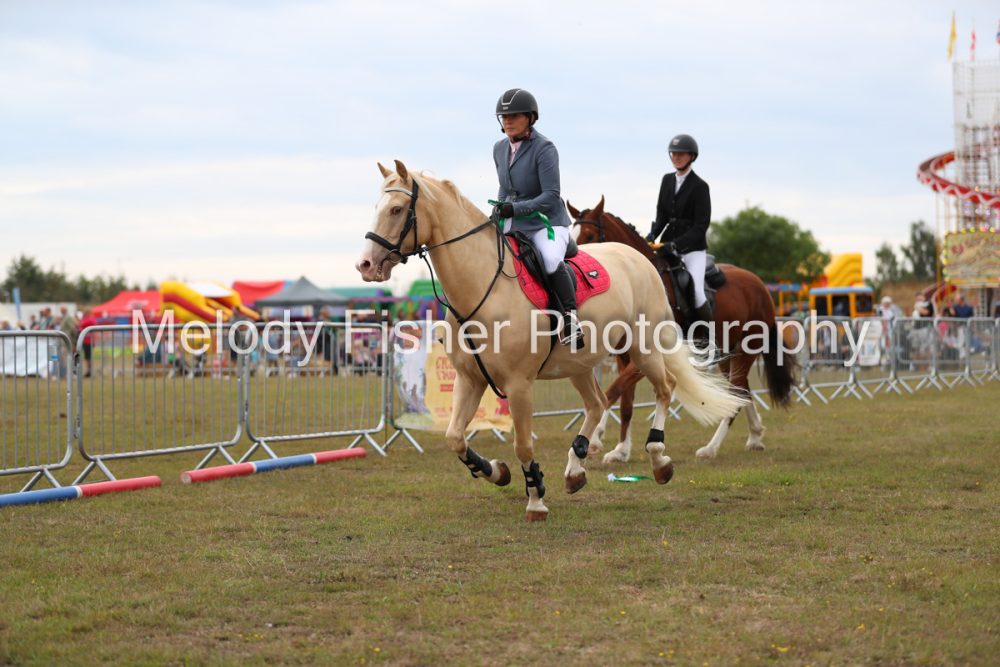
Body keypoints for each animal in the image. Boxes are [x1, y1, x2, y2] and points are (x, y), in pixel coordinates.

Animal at [356, 161, 747, 521]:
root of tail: (640, 258)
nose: (365, 265)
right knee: (597, 403)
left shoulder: (519, 385)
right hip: (581, 363)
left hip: (645, 347)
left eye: (396, 209)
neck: (482, 286)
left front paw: (535, 499)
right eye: (376, 206)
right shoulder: (470, 380)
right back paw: (576, 468)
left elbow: (523, 444)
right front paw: (496, 472)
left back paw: (659, 459)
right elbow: (455, 438)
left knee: (666, 387)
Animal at [567, 197, 796, 463]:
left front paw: (595, 438)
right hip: (727, 354)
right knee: (740, 391)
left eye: (590, 235)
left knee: (737, 391)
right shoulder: (624, 357)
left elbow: (613, 390)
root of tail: (760, 286)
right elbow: (625, 401)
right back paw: (755, 436)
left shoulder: (648, 355)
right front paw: (621, 450)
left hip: (746, 351)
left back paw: (711, 447)